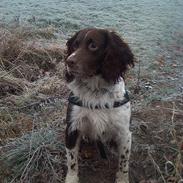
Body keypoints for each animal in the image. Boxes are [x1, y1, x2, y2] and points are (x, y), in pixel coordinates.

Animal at [64, 27, 134, 183]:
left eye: (93, 45)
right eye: (75, 45)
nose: (68, 61)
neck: (95, 92)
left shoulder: (124, 133)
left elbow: (124, 162)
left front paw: (122, 179)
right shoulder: (72, 127)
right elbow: (72, 161)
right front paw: (71, 178)